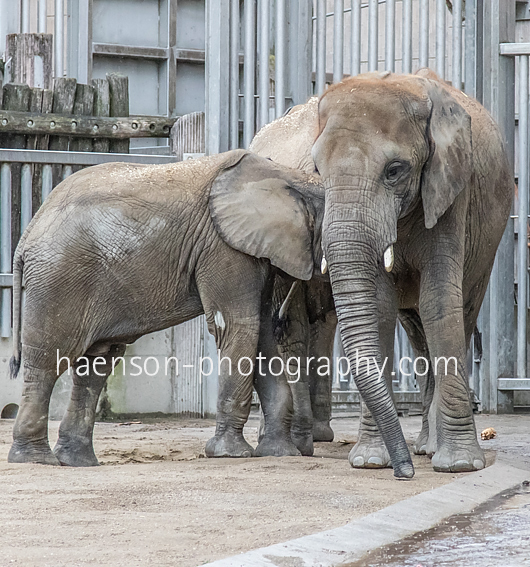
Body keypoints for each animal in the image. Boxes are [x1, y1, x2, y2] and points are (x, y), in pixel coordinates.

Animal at [7, 149, 325, 466]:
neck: (293, 177)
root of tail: (29, 230)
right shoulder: (223, 248)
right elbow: (240, 328)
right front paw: (229, 454)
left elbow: (262, 335)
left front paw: (282, 453)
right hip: (58, 278)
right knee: (49, 359)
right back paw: (35, 459)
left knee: (95, 366)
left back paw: (77, 461)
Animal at [253, 69, 513, 477]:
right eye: (316, 171)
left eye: (395, 171)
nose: (404, 473)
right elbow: (378, 307)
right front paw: (372, 462)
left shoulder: (450, 191)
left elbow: (440, 302)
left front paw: (459, 466)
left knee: (455, 314)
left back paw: (428, 448)